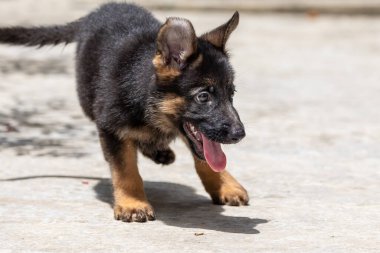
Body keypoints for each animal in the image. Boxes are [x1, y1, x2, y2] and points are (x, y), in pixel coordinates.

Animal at [0, 2, 249, 222]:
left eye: (232, 94)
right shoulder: (111, 127)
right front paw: (132, 203)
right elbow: (125, 168)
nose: (240, 134)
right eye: (203, 97)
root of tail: (97, 12)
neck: (148, 101)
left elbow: (206, 157)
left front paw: (224, 185)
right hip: (87, 99)